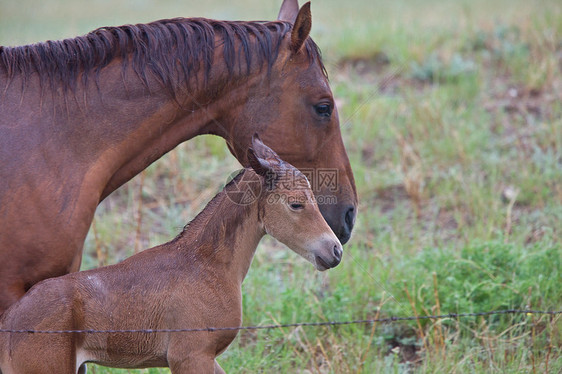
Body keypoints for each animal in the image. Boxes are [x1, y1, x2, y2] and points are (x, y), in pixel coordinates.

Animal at [0, 137, 342, 374]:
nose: (335, 250)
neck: (206, 264)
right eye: (296, 203)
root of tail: (9, 323)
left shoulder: (204, 358)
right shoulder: (190, 356)